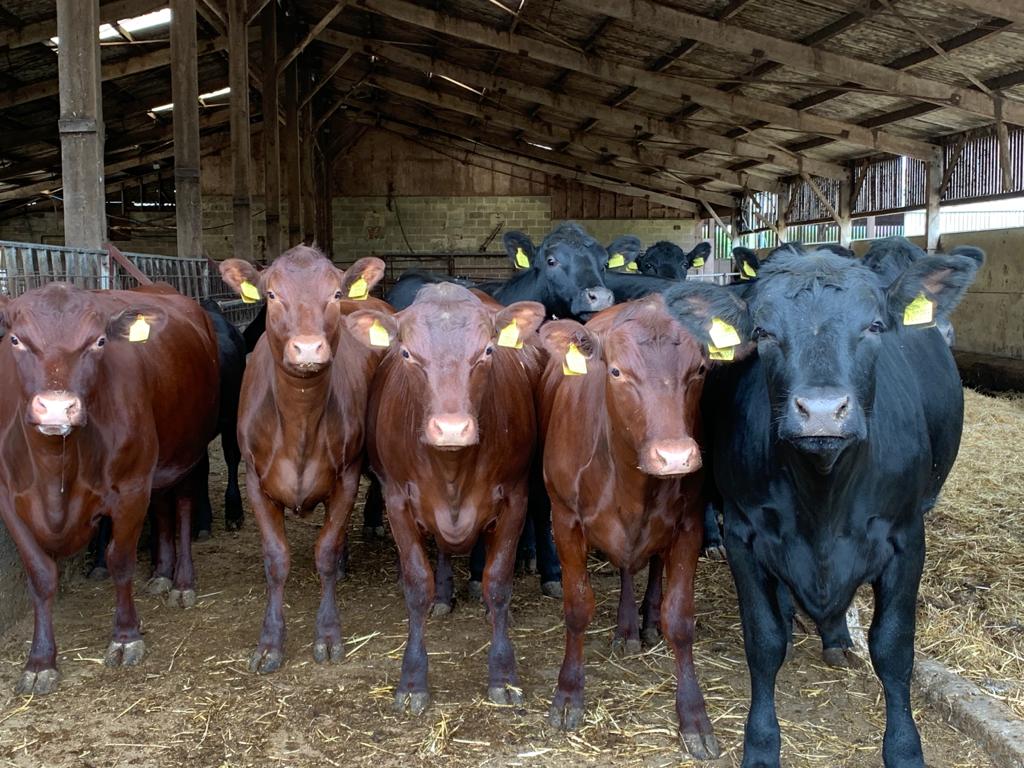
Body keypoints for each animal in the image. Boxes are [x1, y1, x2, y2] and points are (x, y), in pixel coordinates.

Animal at [0, 283, 219, 694]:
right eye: (17, 339)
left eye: (99, 341)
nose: (57, 409)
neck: (57, 467)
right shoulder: (9, 501)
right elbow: (40, 575)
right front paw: (40, 661)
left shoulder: (131, 488)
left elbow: (120, 560)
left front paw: (125, 636)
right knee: (161, 506)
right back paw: (161, 574)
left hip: (190, 452)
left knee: (182, 507)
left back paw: (181, 581)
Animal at [217, 246, 387, 674]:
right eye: (272, 294)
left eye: (335, 294)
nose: (308, 348)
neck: (299, 423)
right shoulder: (255, 482)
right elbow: (276, 559)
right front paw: (269, 643)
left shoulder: (346, 476)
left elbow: (324, 551)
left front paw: (327, 635)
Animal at [346, 283, 545, 713]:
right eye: (406, 353)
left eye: (487, 351)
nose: (451, 428)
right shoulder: (397, 501)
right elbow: (416, 585)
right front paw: (412, 680)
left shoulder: (515, 499)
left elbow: (498, 583)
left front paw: (504, 675)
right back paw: (443, 593)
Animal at [540, 285, 749, 760]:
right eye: (616, 371)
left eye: (700, 370)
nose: (675, 456)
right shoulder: (564, 519)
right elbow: (577, 608)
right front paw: (568, 694)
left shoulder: (689, 523)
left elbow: (681, 619)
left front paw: (694, 716)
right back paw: (625, 627)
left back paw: (643, 619)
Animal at [684, 248, 981, 767]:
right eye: (763, 333)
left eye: (875, 326)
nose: (822, 411)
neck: (822, 501)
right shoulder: (743, 533)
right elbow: (763, 642)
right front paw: (761, 745)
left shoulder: (907, 538)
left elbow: (893, 647)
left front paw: (904, 749)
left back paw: (837, 638)